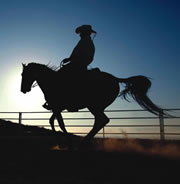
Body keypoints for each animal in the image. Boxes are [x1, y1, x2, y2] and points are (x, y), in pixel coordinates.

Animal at [20, 63, 165, 145]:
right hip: (97, 107)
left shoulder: (57, 107)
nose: (23, 89)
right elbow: (52, 121)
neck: (51, 81)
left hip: (94, 106)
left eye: (24, 74)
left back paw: (84, 142)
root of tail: (115, 78)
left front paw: (68, 142)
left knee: (102, 120)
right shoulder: (57, 108)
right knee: (100, 121)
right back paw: (85, 142)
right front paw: (60, 142)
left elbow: (60, 123)